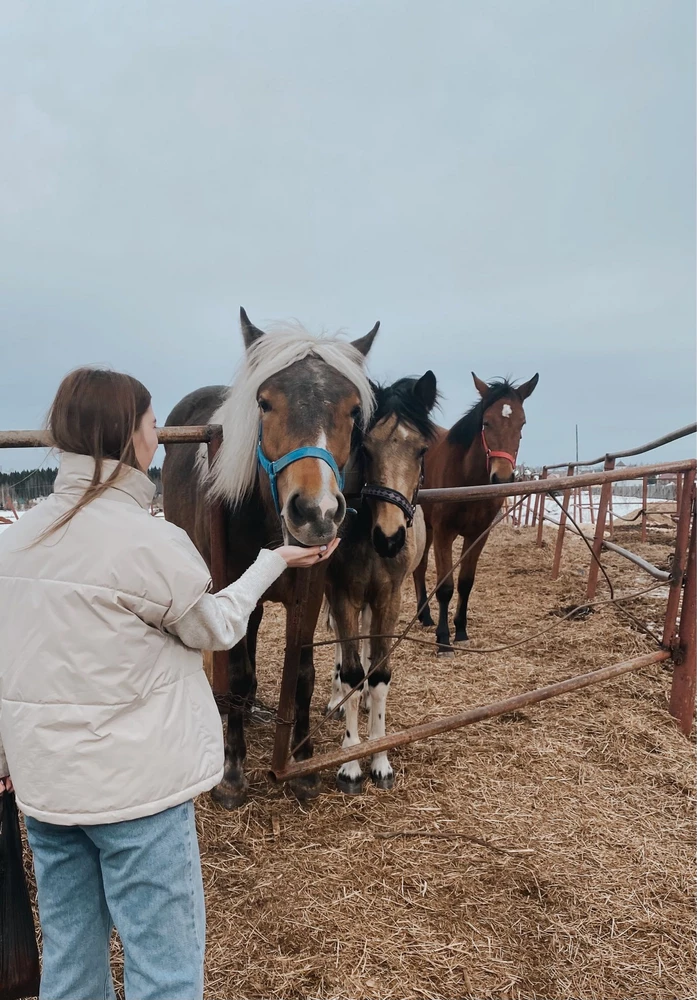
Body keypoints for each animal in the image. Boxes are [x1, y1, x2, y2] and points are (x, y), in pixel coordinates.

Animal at [162, 308, 378, 808]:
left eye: (353, 410)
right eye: (264, 403)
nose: (316, 511)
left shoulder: (311, 593)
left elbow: (302, 675)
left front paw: (302, 765)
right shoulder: (228, 585)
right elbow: (239, 672)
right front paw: (232, 772)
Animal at [322, 372, 436, 792]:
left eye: (421, 450)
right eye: (367, 449)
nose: (389, 538)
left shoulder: (389, 598)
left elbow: (380, 674)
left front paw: (380, 758)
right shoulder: (344, 596)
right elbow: (352, 672)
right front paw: (351, 763)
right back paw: (337, 701)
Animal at [414, 372, 540, 652]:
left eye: (522, 423)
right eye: (486, 422)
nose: (502, 478)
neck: (467, 482)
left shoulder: (478, 535)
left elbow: (465, 583)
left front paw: (460, 631)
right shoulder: (444, 534)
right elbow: (445, 586)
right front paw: (444, 639)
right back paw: (425, 616)